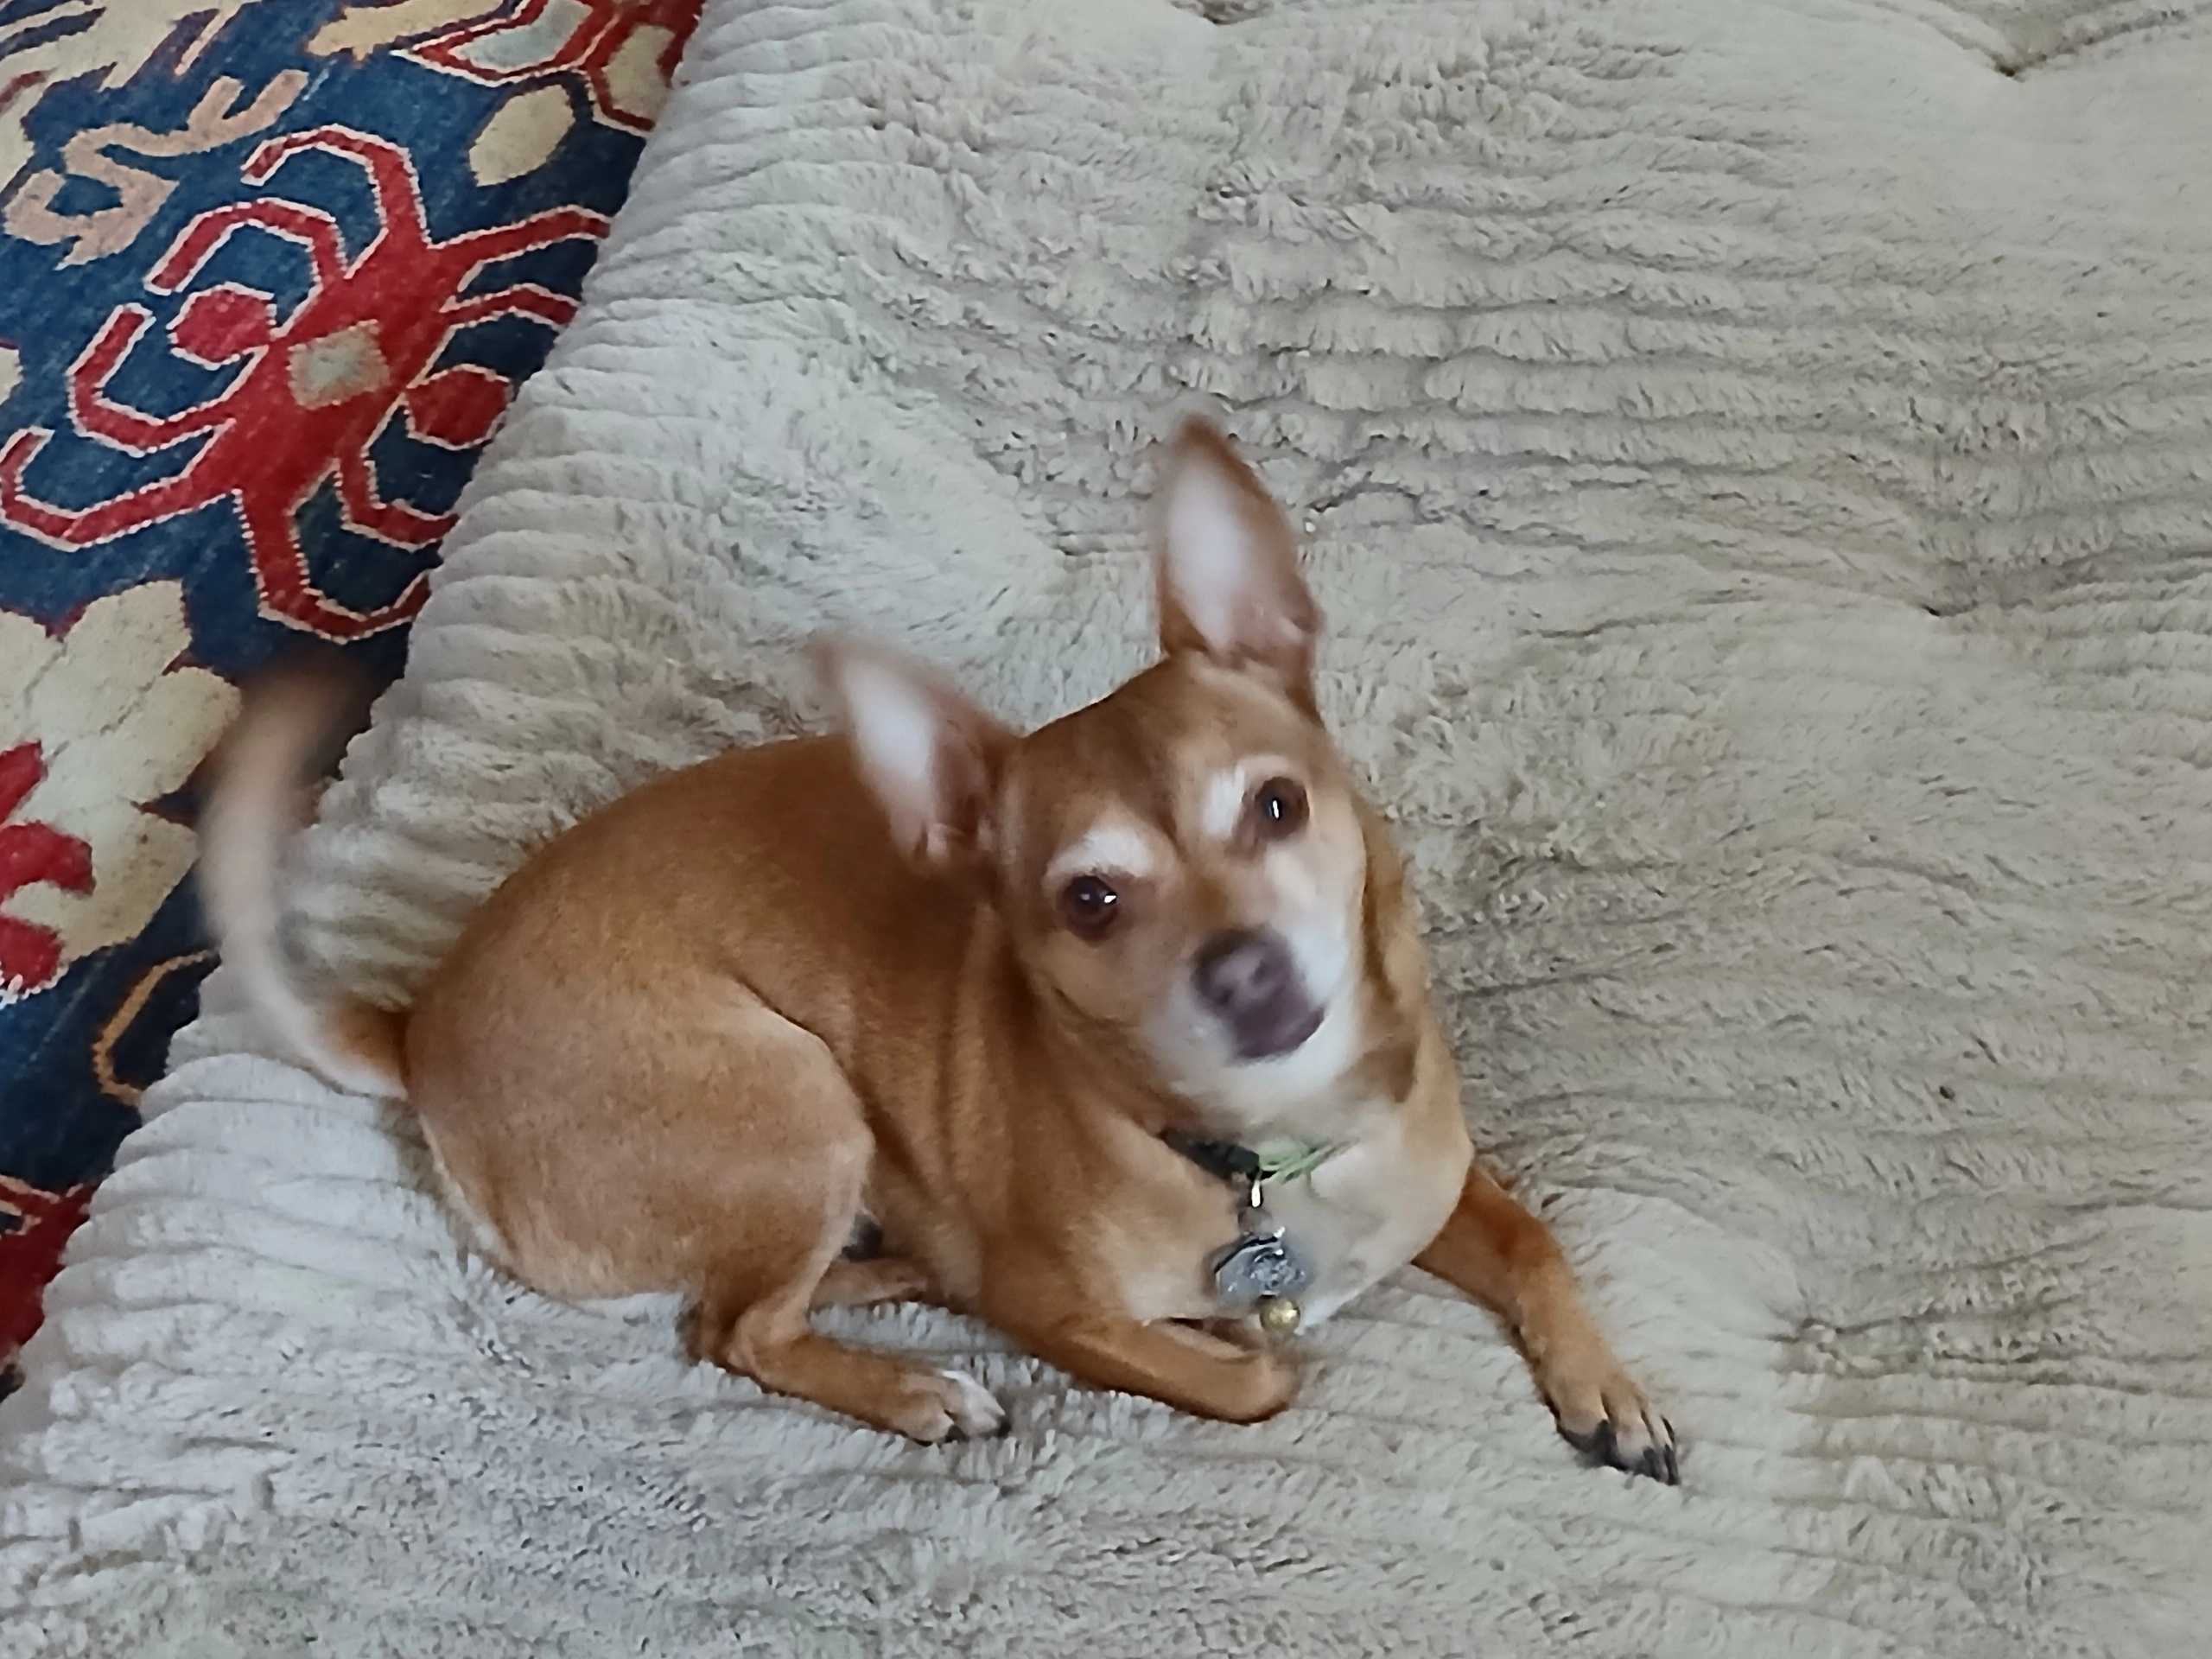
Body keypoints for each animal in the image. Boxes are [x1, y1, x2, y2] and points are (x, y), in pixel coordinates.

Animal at [200, 418, 1678, 1480]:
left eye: (1276, 806)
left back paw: (900, 1268)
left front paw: (1609, 1387)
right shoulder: (1073, 1313)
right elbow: (1262, 1372)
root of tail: (418, 1025)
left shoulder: (1442, 1174)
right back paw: (915, 1385)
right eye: (1091, 901)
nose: (1245, 970)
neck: (1268, 1150)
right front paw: (1218, 1337)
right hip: (792, 1098)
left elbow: (1535, 1238)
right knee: (731, 1327)